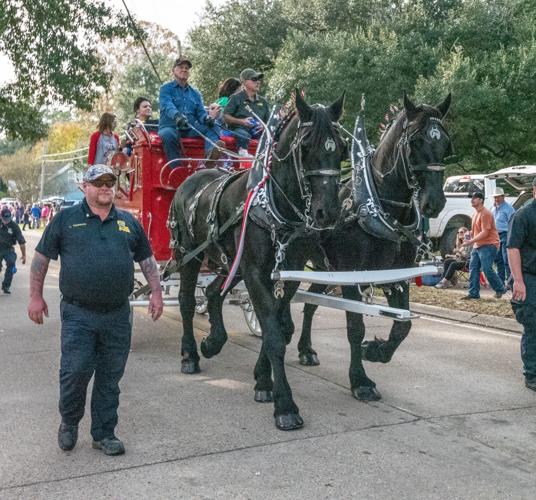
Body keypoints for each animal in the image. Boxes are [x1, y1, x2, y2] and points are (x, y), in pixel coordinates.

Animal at [172, 93, 348, 430]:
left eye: (342, 149)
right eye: (306, 147)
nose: (328, 213)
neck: (276, 206)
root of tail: (192, 178)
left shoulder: (286, 274)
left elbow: (275, 328)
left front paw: (263, 381)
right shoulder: (255, 272)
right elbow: (275, 335)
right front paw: (285, 405)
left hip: (231, 262)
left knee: (212, 292)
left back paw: (213, 341)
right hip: (190, 253)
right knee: (187, 300)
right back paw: (189, 354)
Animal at [298, 91, 452, 402]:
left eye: (444, 142)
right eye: (415, 142)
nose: (434, 202)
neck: (376, 205)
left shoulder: (397, 275)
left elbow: (403, 325)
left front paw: (377, 351)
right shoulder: (351, 274)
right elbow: (355, 326)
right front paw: (360, 380)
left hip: (322, 268)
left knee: (309, 303)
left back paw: (306, 350)